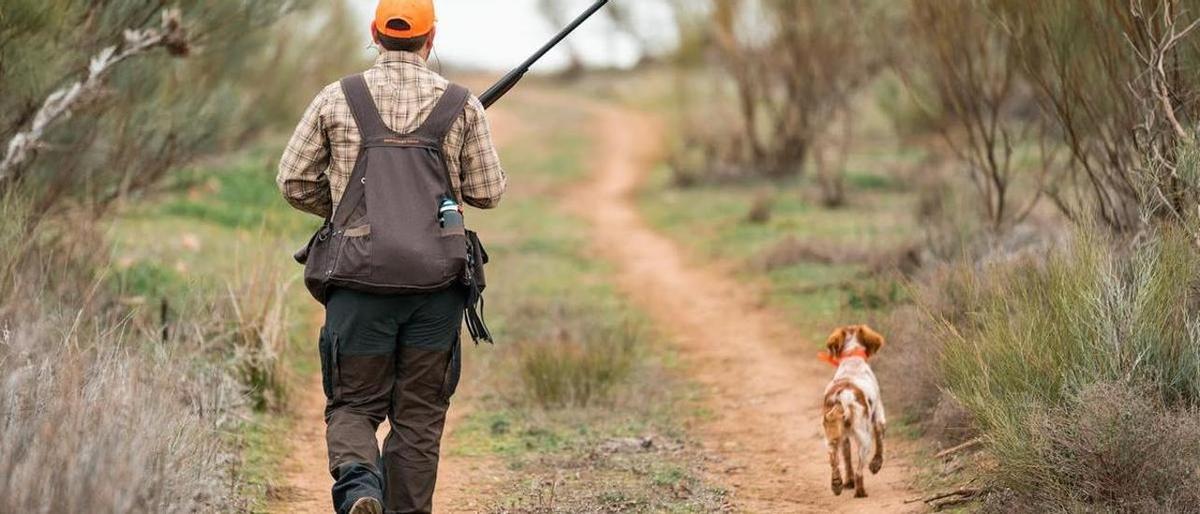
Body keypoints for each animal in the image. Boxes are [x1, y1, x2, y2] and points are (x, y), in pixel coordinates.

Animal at [820, 324, 888, 497]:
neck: (852, 360)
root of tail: (842, 395)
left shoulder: (843, 436)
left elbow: (846, 457)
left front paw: (847, 482)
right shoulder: (879, 415)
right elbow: (880, 442)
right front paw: (876, 465)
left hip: (830, 438)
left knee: (834, 461)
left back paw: (837, 484)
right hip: (864, 438)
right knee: (859, 471)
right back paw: (860, 492)